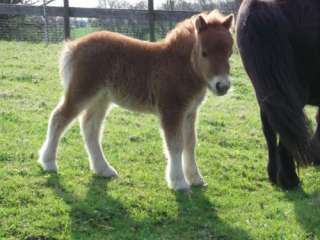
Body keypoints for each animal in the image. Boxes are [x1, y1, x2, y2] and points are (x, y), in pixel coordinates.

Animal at [38, 10, 232, 191]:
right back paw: (49, 162)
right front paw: (179, 182)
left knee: (90, 128)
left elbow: (190, 144)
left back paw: (103, 169)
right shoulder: (171, 111)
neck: (181, 66)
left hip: (101, 98)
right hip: (82, 91)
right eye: (204, 53)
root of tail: (74, 45)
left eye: (230, 53)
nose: (222, 86)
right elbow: (175, 145)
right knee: (59, 118)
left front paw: (195, 178)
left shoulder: (190, 112)